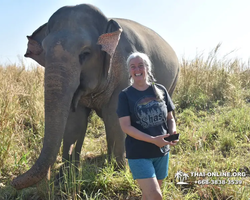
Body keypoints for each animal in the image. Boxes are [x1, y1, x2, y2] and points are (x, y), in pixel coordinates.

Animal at [12, 3, 180, 190]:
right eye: (45, 53)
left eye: (85, 54)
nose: (13, 181)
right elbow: (75, 121)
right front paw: (65, 178)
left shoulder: (123, 74)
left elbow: (114, 118)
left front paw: (118, 172)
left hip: (174, 79)